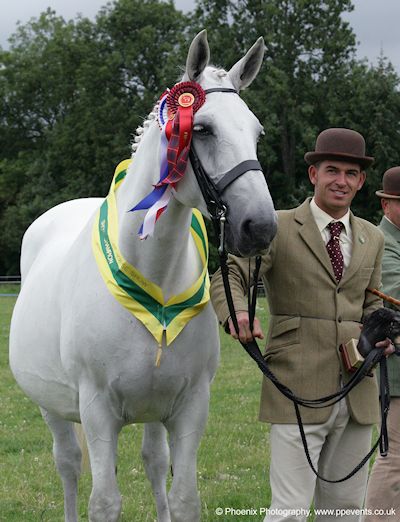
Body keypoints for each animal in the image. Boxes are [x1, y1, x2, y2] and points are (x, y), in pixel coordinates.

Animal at [10, 30, 278, 516]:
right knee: (68, 465)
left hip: (152, 411)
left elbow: (183, 497)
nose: (260, 227)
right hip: (52, 408)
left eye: (256, 132)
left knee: (153, 462)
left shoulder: (189, 407)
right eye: (203, 129)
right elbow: (104, 503)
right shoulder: (97, 413)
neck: (155, 275)